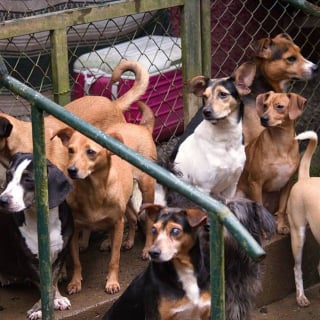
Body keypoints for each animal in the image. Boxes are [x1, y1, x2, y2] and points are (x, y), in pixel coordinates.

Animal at [0, 152, 73, 320]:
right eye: (8, 175)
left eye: (28, 180)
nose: (2, 200)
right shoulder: (28, 259)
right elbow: (42, 283)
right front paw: (39, 309)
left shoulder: (61, 253)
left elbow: (52, 281)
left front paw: (58, 299)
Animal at [53, 101, 157, 294]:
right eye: (70, 150)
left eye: (91, 152)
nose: (71, 170)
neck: (92, 191)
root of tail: (141, 127)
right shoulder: (75, 230)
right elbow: (76, 261)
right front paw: (75, 282)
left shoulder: (117, 223)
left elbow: (114, 259)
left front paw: (112, 282)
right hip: (127, 197)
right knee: (133, 217)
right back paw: (128, 241)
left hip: (147, 190)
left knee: (148, 221)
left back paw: (146, 248)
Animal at [238, 91, 308, 234]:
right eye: (265, 105)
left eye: (279, 106)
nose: (263, 118)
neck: (281, 143)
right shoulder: (255, 182)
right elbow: (259, 211)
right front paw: (263, 232)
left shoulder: (287, 183)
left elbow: (282, 208)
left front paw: (280, 226)